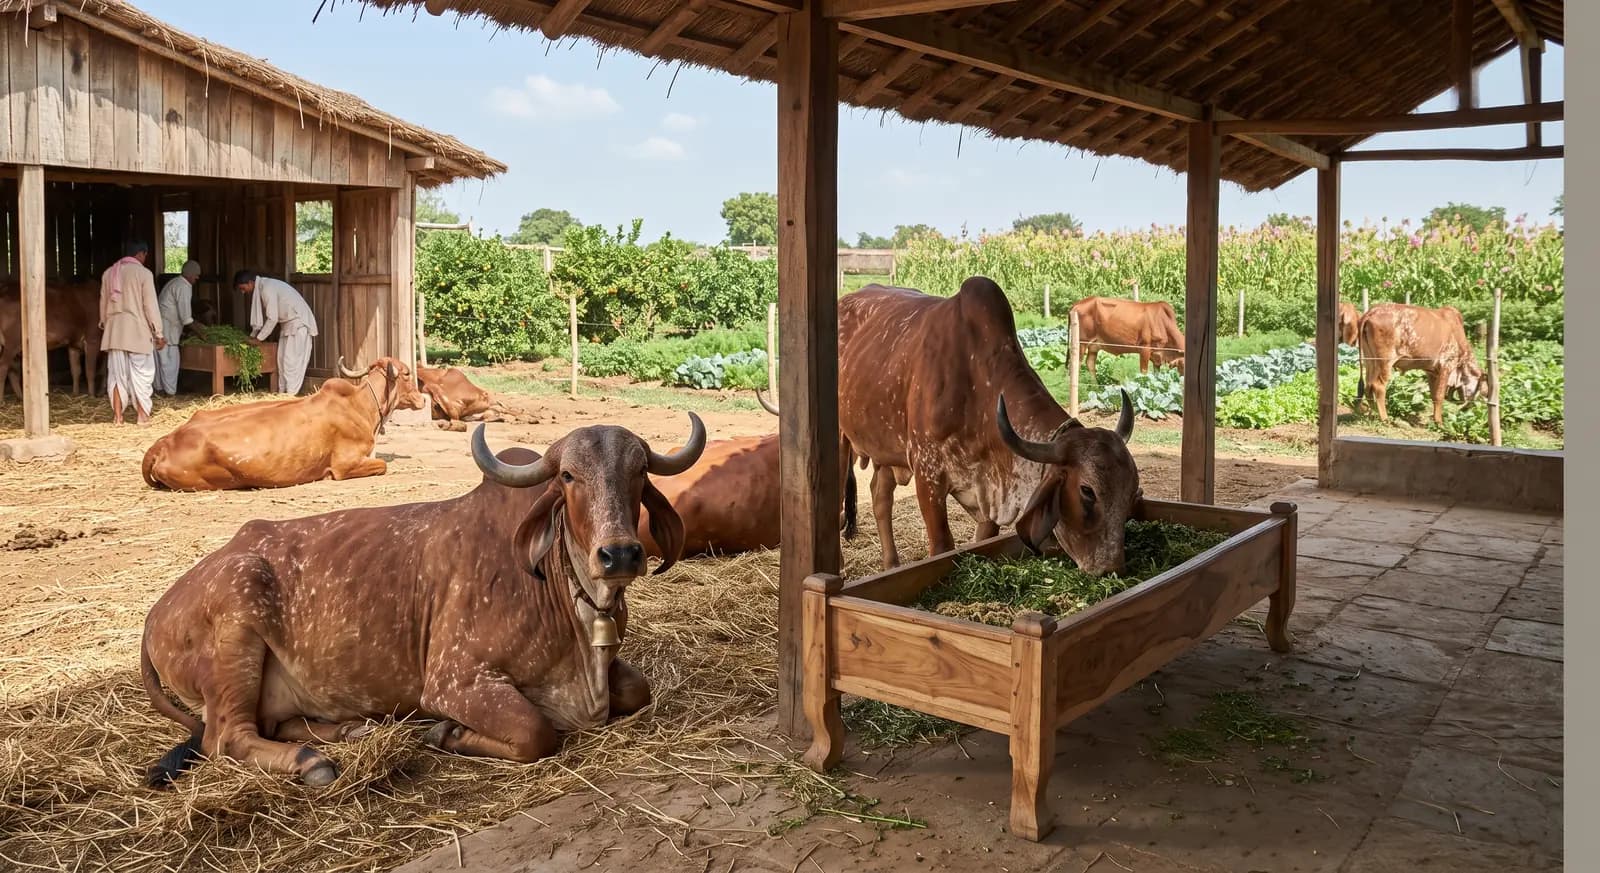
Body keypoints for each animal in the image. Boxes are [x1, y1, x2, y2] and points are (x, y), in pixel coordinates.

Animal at [139, 416, 707, 787]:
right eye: (568, 476)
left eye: (639, 472)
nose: (620, 554)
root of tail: (154, 615)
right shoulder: (454, 680)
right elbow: (536, 732)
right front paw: (447, 733)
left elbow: (637, 690)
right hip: (239, 617)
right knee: (226, 739)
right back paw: (311, 761)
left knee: (270, 724)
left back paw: (347, 730)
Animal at [140, 356, 426, 491]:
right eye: (407, 374)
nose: (422, 399)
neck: (360, 404)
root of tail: (164, 443)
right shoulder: (345, 465)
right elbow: (381, 466)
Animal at [840, 278, 1139, 574]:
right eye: (1087, 491)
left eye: (1133, 490)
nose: (1112, 569)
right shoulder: (928, 474)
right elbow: (942, 546)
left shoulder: (988, 494)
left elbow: (982, 539)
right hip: (843, 440)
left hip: (885, 448)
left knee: (880, 495)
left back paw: (891, 564)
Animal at [1355, 303, 1486, 426]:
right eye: (1484, 393)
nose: (1468, 409)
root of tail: (1373, 311)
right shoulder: (1446, 366)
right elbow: (1439, 396)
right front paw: (1439, 422)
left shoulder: (1432, 372)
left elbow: (1433, 396)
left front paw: (1435, 419)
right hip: (1385, 362)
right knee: (1378, 386)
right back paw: (1385, 418)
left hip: (1370, 360)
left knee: (1368, 385)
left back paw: (1373, 414)